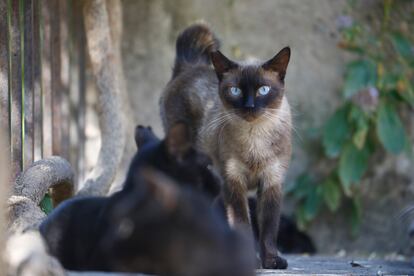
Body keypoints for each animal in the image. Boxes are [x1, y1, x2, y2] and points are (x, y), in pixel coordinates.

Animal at [158, 23, 292, 270]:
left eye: (263, 90)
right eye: (235, 91)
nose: (249, 106)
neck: (254, 138)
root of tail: (190, 66)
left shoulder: (271, 181)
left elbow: (269, 230)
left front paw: (271, 261)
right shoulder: (234, 182)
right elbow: (242, 224)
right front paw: (250, 262)